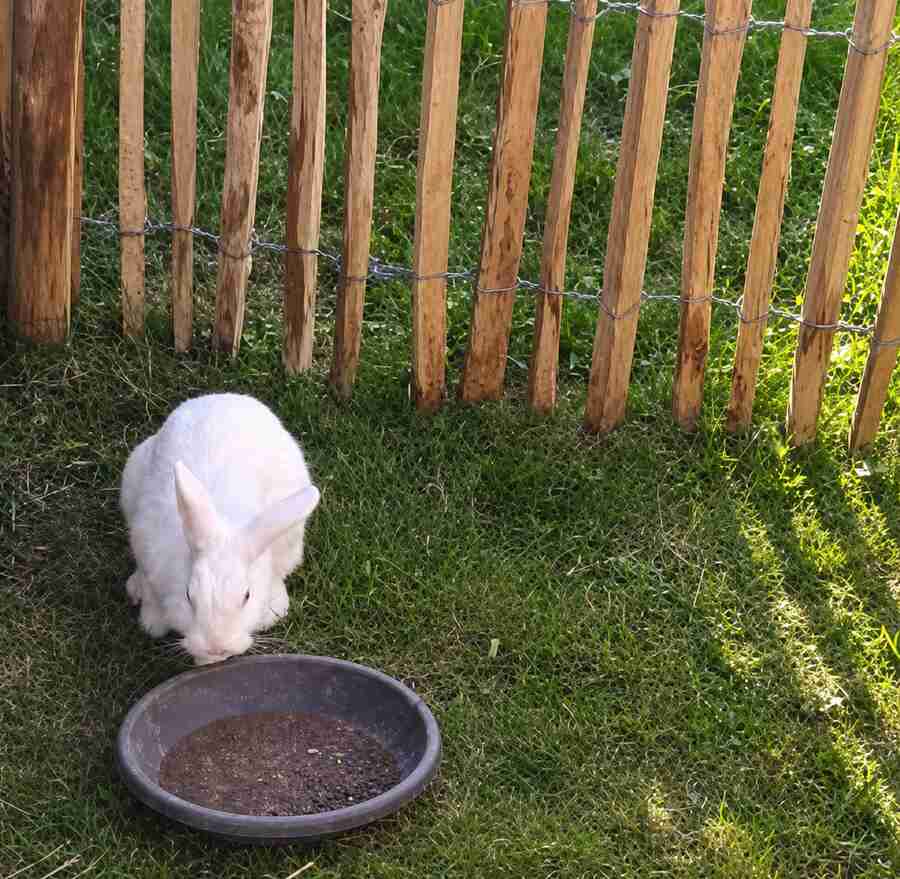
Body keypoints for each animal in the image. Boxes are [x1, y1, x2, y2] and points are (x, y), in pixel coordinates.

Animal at [120, 393, 320, 665]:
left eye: (247, 596)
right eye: (188, 595)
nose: (216, 647)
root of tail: (224, 396)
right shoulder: (145, 546)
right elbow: (151, 592)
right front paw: (153, 624)